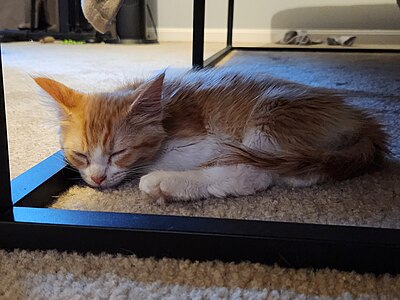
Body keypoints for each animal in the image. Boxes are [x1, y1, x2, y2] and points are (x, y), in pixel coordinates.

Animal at [34, 69, 388, 203]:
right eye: (80, 155)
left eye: (118, 153)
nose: (97, 178)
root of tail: (362, 118)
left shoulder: (208, 139)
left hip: (270, 116)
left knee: (254, 174)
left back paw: (164, 184)